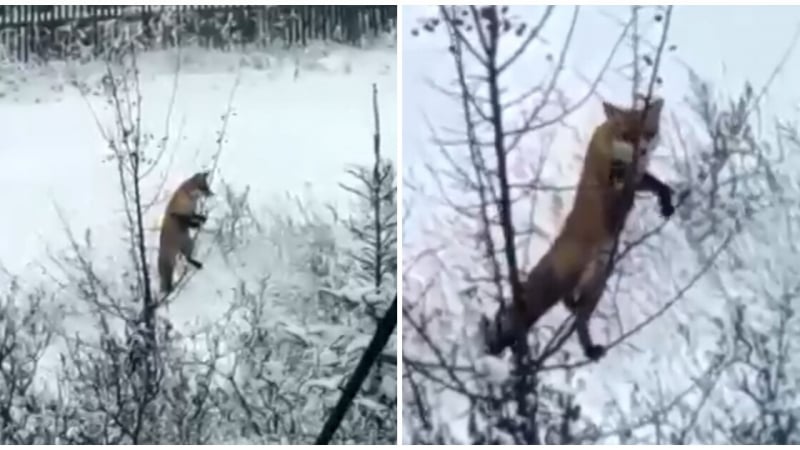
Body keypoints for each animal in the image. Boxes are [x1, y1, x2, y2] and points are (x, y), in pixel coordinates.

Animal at [482, 96, 676, 360]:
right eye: (627, 135)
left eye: (649, 133)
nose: (644, 151)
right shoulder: (613, 180)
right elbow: (621, 183)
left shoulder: (638, 178)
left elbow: (662, 186)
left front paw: (667, 205)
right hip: (552, 292)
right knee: (518, 317)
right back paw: (495, 345)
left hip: (594, 288)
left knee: (579, 320)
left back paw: (589, 349)